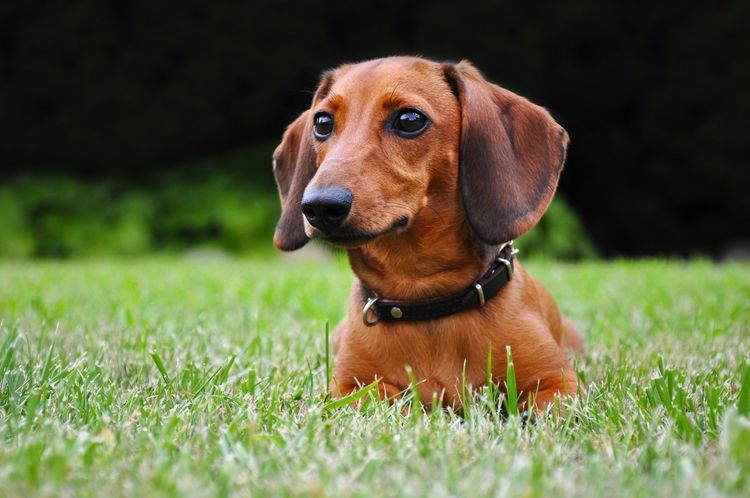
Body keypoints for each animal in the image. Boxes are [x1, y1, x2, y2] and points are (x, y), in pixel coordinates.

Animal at [274, 56, 584, 410]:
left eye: (410, 120)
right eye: (322, 122)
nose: (320, 206)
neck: (426, 301)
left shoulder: (559, 383)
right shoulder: (349, 387)